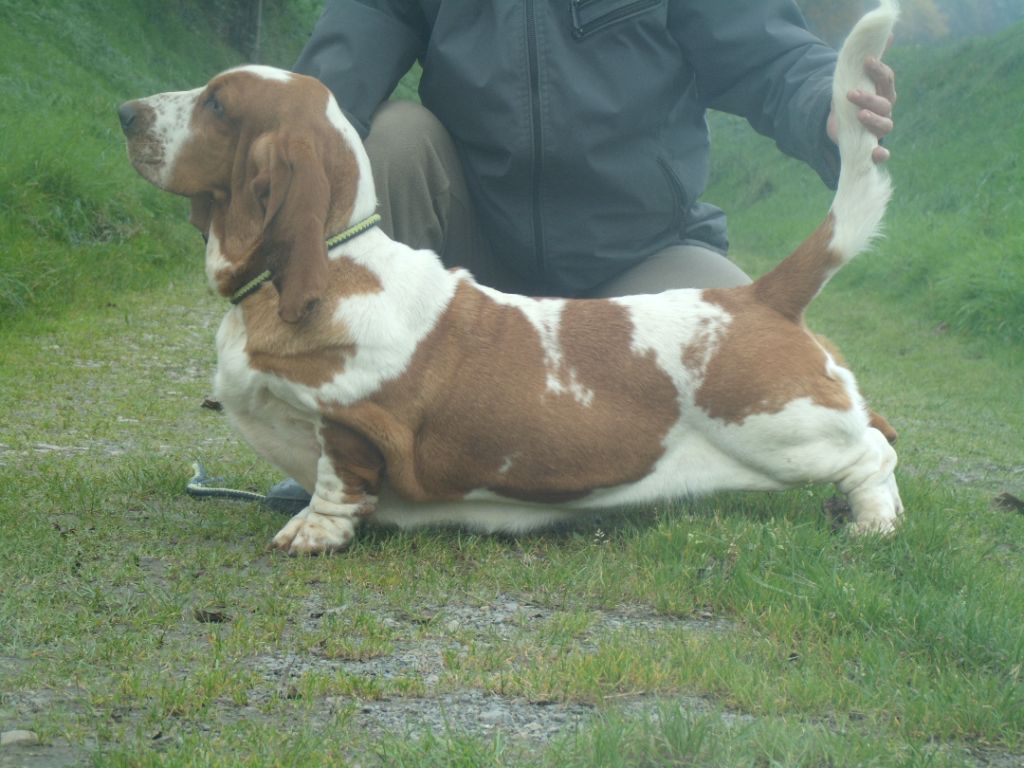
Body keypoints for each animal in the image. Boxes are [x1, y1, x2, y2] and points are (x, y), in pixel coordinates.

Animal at [121, 0, 905, 552]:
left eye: (218, 104)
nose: (125, 111)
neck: (337, 264)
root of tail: (759, 296)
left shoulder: (347, 427)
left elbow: (338, 483)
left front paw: (311, 534)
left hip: (787, 433)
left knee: (872, 454)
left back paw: (873, 524)